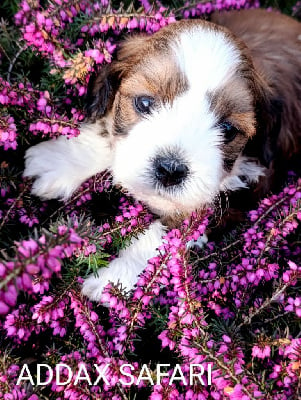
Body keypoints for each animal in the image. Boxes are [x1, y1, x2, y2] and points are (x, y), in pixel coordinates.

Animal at [23, 9, 300, 300]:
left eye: (227, 129)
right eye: (144, 103)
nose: (170, 170)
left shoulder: (245, 186)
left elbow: (175, 230)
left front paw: (115, 279)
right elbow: (107, 135)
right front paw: (59, 161)